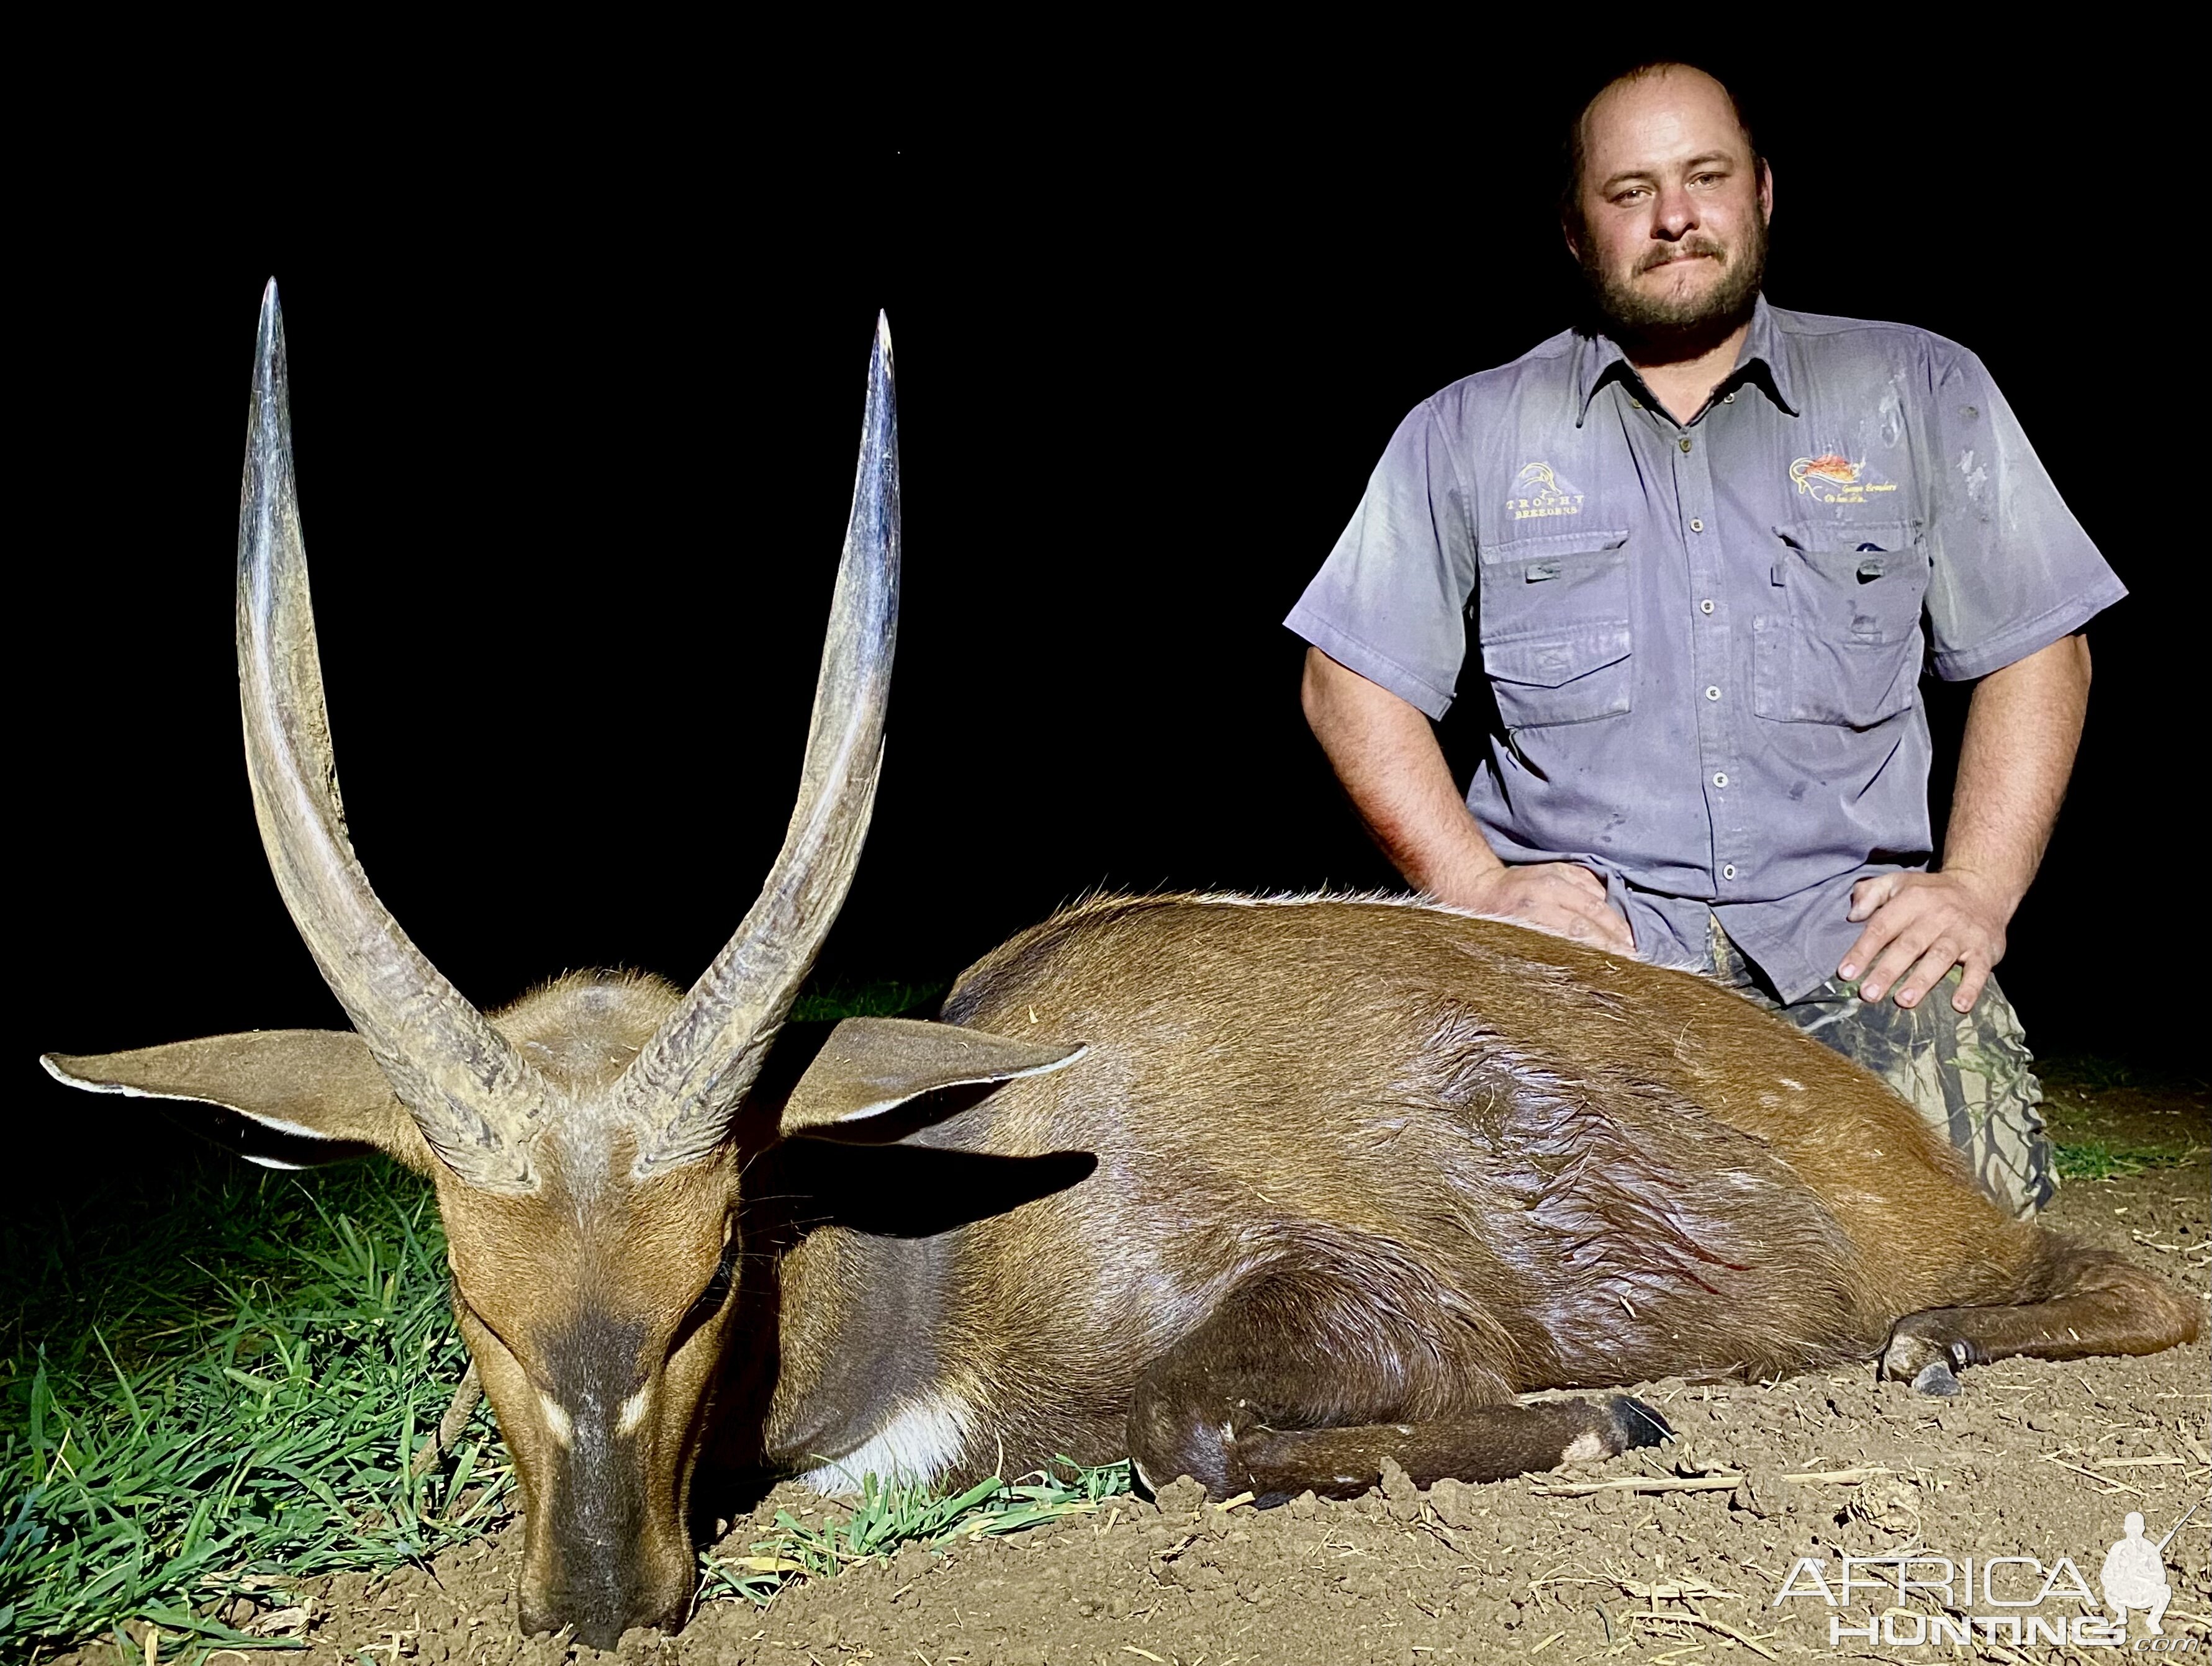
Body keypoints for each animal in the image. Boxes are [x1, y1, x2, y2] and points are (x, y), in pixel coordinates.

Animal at [43, 289, 2203, 1637]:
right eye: (467, 1290)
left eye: (712, 1267)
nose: (589, 1601)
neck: (943, 1229)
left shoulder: (1348, 1296)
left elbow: (1186, 1436)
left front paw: (1615, 1418)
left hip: (1963, 1240)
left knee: (2112, 1280)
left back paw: (1925, 1348)